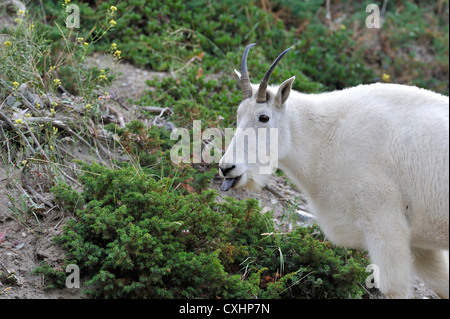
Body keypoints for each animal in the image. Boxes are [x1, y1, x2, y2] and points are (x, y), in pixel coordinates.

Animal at [220, 43, 448, 298]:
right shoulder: (420, 243)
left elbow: (394, 288)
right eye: (238, 114)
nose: (226, 167)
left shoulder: (385, 222)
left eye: (263, 117)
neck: (326, 136)